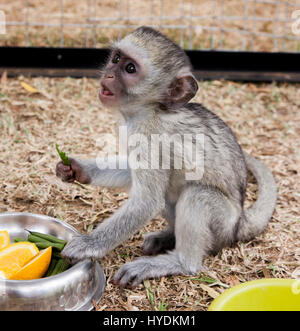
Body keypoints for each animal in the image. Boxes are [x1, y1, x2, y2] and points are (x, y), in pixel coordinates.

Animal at [56, 26, 276, 288]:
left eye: (130, 69)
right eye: (116, 59)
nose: (108, 75)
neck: (150, 110)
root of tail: (239, 223)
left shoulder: (151, 139)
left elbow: (147, 201)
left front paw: (88, 244)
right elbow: (133, 175)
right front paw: (78, 169)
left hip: (223, 224)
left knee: (197, 195)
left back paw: (180, 262)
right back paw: (168, 237)